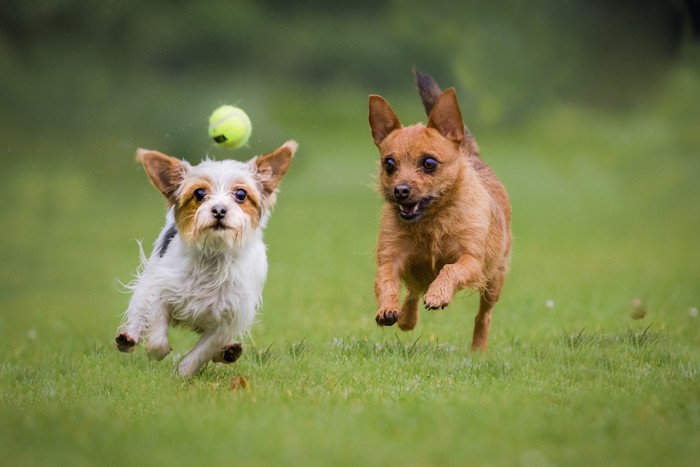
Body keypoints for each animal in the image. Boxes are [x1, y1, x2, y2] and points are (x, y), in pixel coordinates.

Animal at [115, 141, 296, 378]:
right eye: (199, 193)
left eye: (241, 194)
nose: (218, 209)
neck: (213, 256)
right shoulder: (162, 289)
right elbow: (156, 333)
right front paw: (158, 351)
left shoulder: (229, 318)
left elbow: (205, 349)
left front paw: (184, 371)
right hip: (148, 279)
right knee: (139, 309)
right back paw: (128, 337)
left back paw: (229, 351)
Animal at [370, 71, 512, 352]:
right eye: (389, 164)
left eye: (429, 163)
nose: (400, 190)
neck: (432, 221)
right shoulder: (390, 259)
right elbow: (387, 282)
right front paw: (388, 309)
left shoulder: (471, 261)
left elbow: (450, 269)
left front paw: (438, 294)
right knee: (413, 291)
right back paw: (406, 318)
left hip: (494, 281)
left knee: (484, 315)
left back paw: (478, 348)